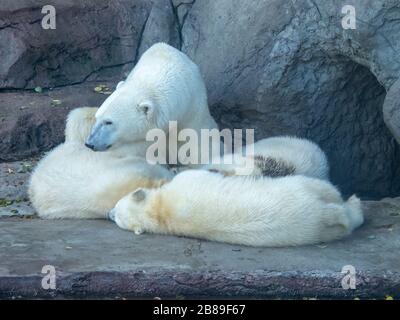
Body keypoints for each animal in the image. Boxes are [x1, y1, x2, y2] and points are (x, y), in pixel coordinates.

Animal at [108, 170, 362, 248]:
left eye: (116, 209)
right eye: (118, 215)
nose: (109, 214)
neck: (161, 210)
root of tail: (320, 214)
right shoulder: (189, 179)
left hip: (316, 230)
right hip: (302, 190)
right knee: (335, 201)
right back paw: (353, 202)